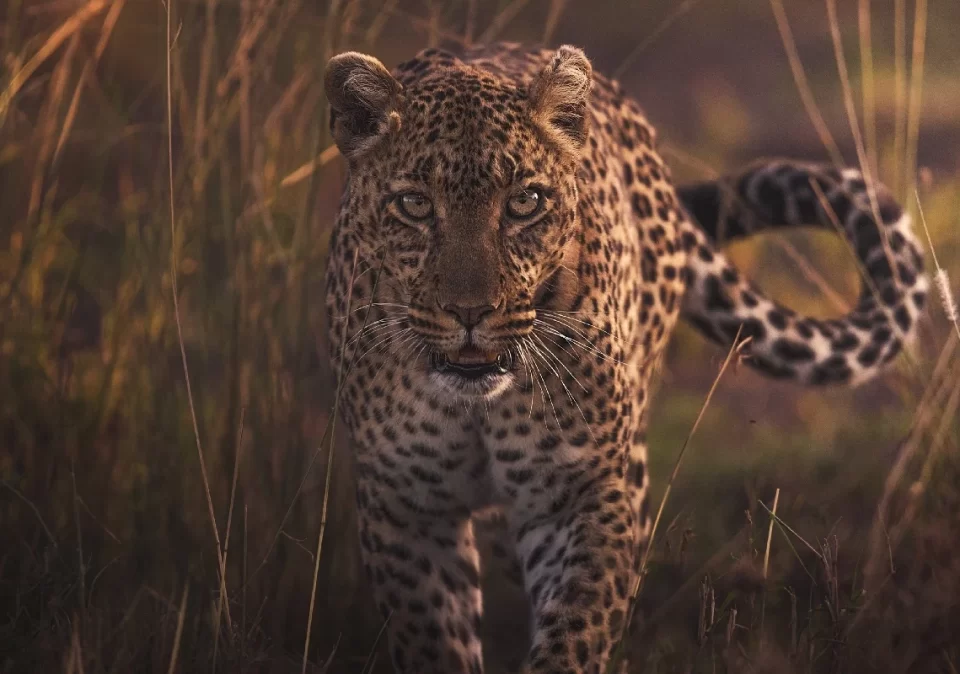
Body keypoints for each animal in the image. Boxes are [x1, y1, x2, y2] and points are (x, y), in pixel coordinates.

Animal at [322, 42, 928, 674]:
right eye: (415, 204)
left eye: (524, 202)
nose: (471, 312)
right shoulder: (405, 509)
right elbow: (433, 640)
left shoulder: (583, 492)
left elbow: (577, 629)